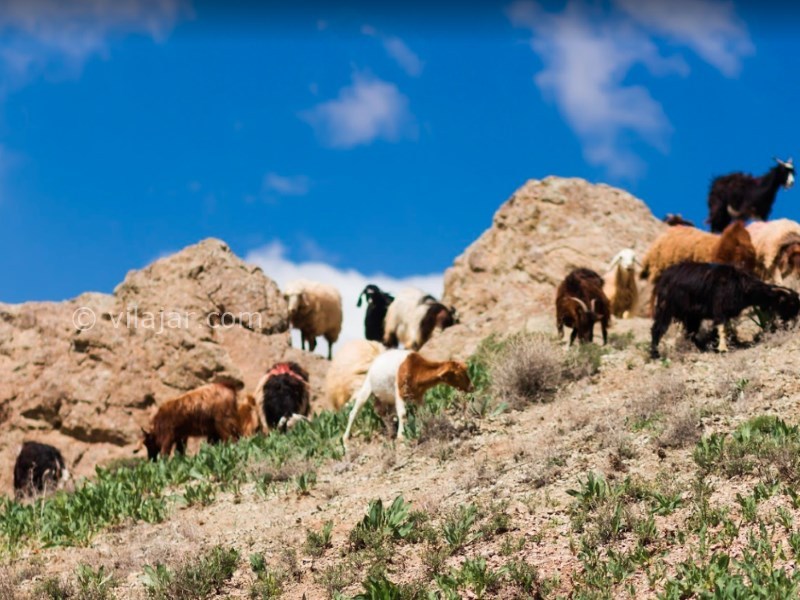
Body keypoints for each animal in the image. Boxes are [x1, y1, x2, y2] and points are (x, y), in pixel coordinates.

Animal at [342, 352, 472, 446]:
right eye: (459, 374)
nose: (472, 387)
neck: (415, 369)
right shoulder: (399, 393)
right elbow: (403, 414)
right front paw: (401, 436)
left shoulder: (418, 396)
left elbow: (425, 412)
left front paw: (430, 426)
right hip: (367, 388)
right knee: (354, 412)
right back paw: (346, 438)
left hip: (386, 398)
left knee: (383, 413)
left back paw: (391, 432)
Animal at [648, 262, 800, 356]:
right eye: (791, 303)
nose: (795, 320)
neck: (742, 284)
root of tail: (665, 276)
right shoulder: (719, 309)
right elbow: (722, 328)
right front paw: (723, 349)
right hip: (665, 308)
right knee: (657, 329)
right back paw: (655, 354)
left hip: (692, 315)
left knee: (690, 333)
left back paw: (701, 348)